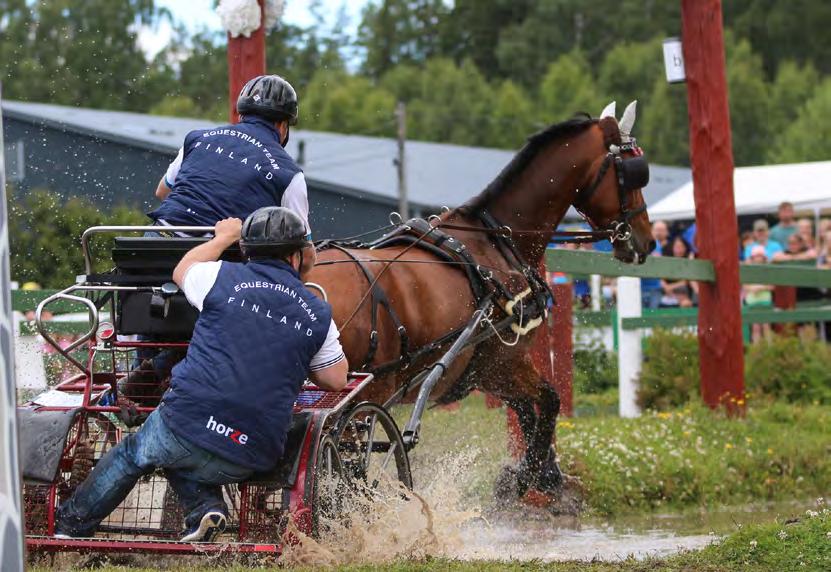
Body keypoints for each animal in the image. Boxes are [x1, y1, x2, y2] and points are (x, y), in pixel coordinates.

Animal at [308, 103, 652, 504]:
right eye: (632, 171)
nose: (645, 241)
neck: (496, 240)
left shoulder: (484, 372)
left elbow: (528, 413)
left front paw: (538, 473)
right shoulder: (505, 363)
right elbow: (548, 402)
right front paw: (530, 476)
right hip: (367, 396)